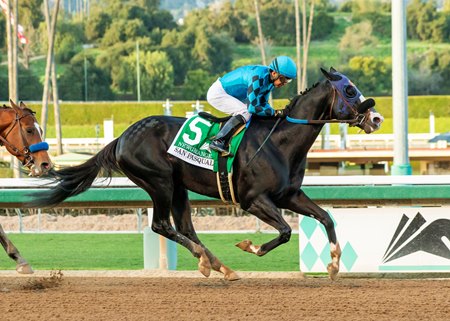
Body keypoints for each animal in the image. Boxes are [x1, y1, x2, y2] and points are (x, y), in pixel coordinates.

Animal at [28, 68, 382, 280]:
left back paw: (220, 266)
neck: (280, 140)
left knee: (185, 226)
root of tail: (122, 137)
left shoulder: (289, 195)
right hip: (159, 182)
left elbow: (326, 218)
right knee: (162, 225)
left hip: (178, 186)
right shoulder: (253, 199)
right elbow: (284, 232)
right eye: (350, 90)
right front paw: (250, 246)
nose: (376, 118)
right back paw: (205, 260)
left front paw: (334, 263)